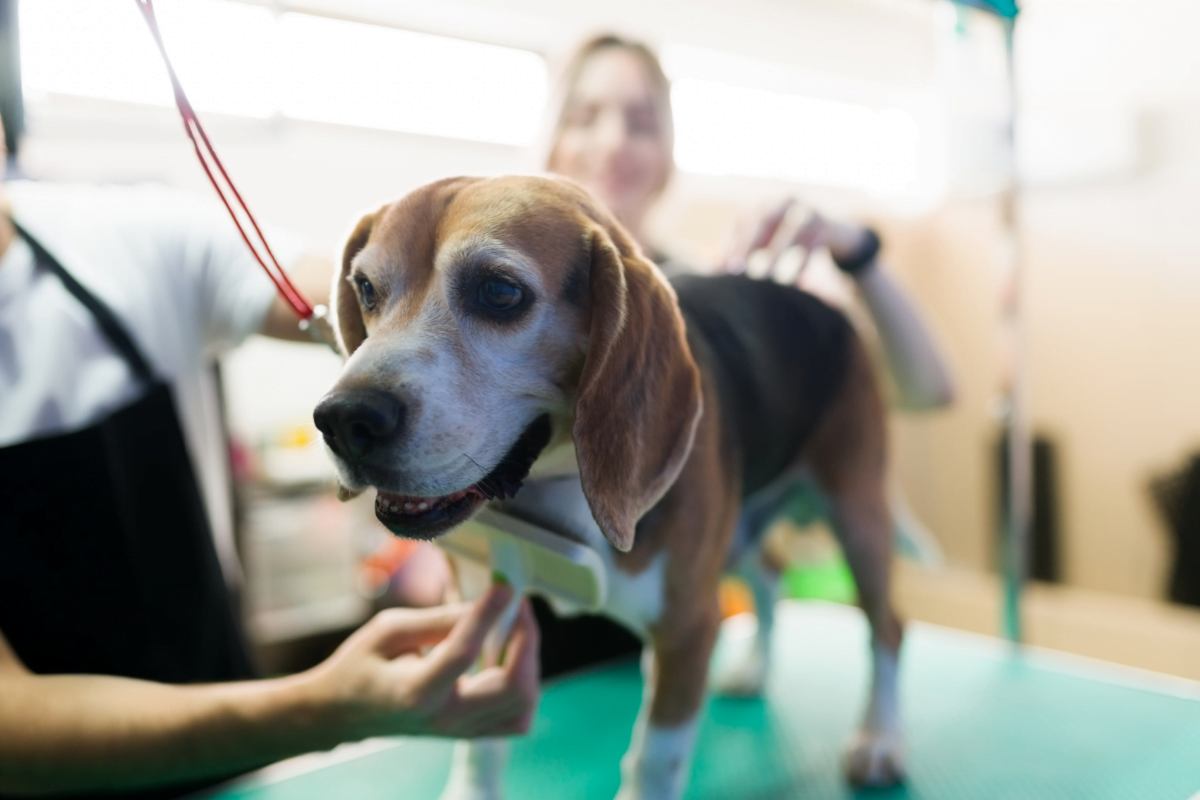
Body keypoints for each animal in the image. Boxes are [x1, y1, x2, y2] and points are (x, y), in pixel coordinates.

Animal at [314, 176, 902, 800]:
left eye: (499, 292)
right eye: (365, 289)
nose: (343, 420)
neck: (556, 481)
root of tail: (818, 304)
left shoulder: (688, 629)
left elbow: (654, 759)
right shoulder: (482, 602)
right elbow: (480, 737)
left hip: (858, 514)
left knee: (886, 626)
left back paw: (880, 740)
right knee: (771, 574)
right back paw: (755, 670)